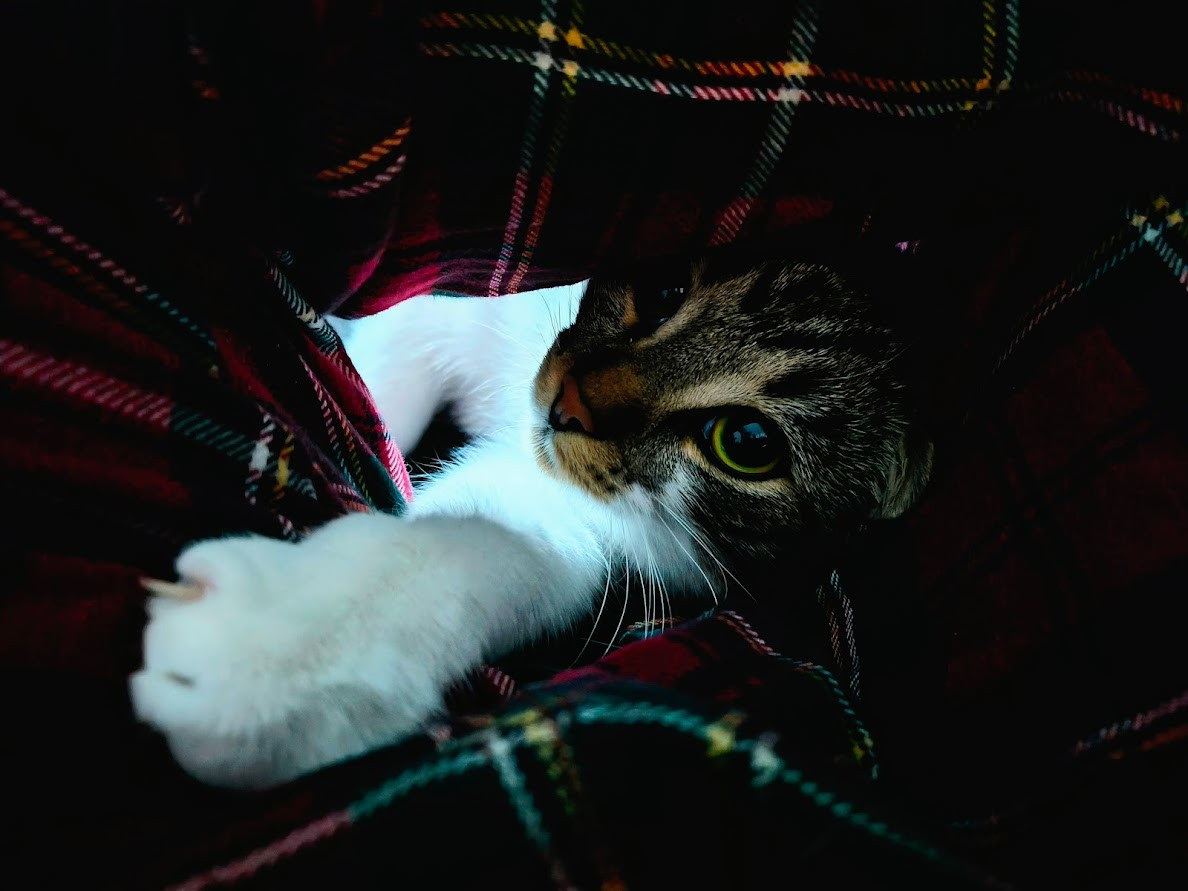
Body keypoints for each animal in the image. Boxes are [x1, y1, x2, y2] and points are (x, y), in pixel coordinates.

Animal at [127, 244, 926, 788]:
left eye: (747, 442)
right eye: (665, 286)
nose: (567, 404)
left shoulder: (591, 513)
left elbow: (489, 545)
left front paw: (289, 649)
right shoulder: (442, 303)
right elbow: (379, 373)